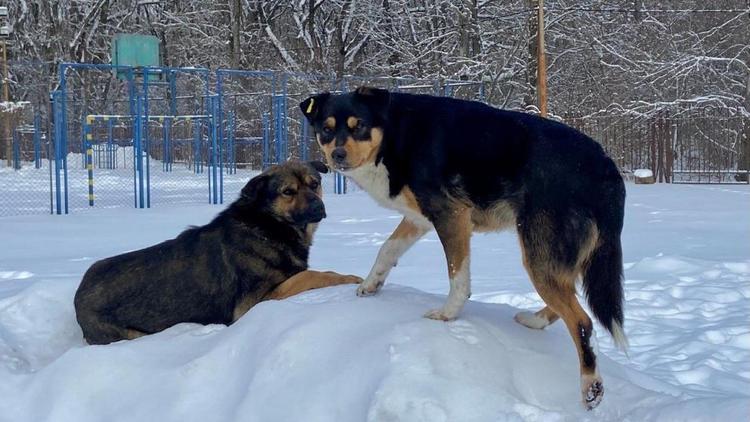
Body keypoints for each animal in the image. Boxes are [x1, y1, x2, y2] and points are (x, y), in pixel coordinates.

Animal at [75, 162, 362, 346]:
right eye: (288, 192)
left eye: (315, 184)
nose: (318, 206)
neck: (268, 225)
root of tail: (79, 293)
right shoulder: (253, 303)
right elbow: (312, 275)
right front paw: (349, 278)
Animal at [302, 86, 628, 408]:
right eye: (326, 130)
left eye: (359, 126)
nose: (337, 155)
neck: (394, 134)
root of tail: (606, 164)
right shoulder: (418, 219)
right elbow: (387, 250)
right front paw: (371, 284)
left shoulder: (452, 215)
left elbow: (457, 275)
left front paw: (448, 314)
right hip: (554, 257)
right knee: (567, 299)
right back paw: (534, 321)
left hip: (539, 255)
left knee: (582, 320)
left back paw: (591, 386)